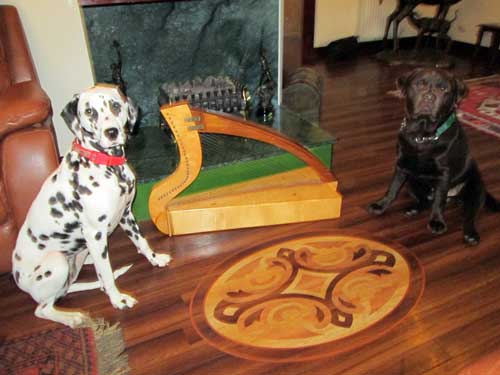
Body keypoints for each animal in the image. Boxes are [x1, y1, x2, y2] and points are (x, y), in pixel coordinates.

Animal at [11, 83, 172, 328]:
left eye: (115, 106)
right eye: (89, 111)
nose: (111, 132)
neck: (108, 166)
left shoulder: (126, 215)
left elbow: (142, 242)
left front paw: (156, 259)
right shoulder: (95, 234)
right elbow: (106, 272)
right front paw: (118, 299)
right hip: (57, 262)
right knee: (42, 309)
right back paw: (72, 317)